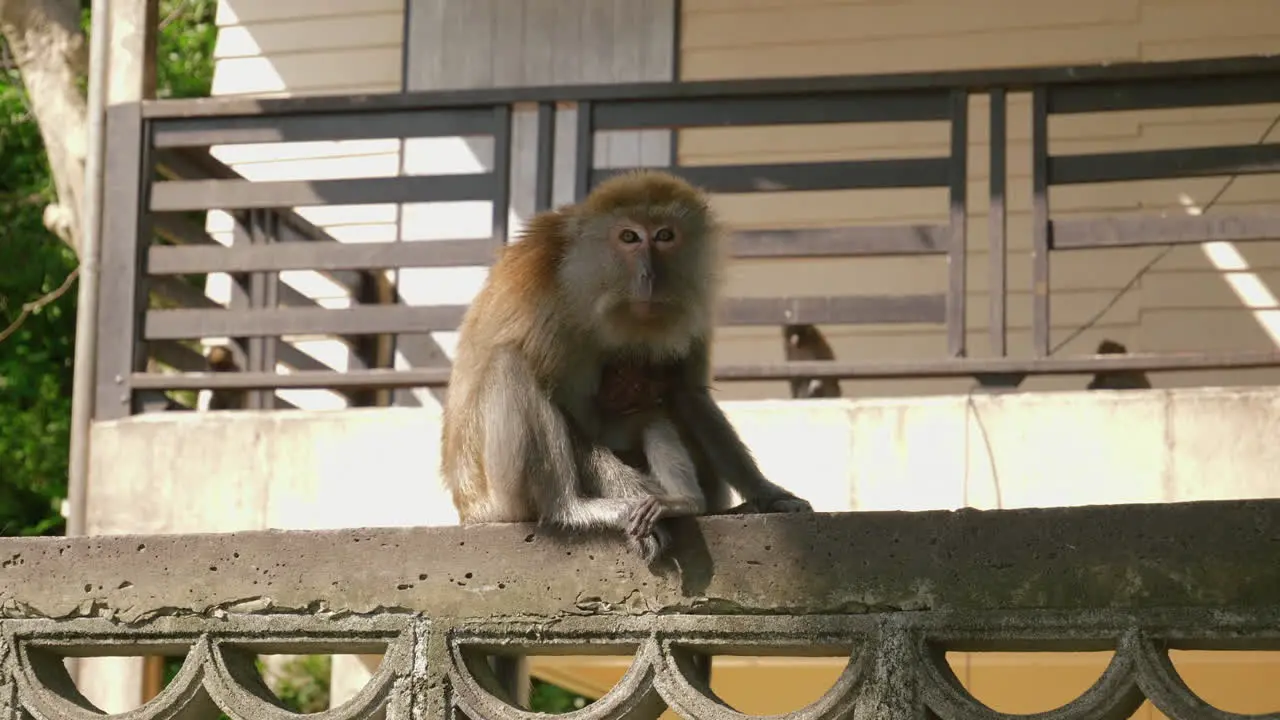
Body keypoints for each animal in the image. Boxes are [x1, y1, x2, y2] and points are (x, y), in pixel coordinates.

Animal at [440, 169, 808, 561]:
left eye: (665, 236)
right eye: (629, 237)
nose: (650, 276)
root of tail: (467, 508)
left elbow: (689, 394)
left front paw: (768, 493)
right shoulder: (549, 308)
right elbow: (572, 418)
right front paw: (640, 500)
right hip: (499, 498)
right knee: (509, 362)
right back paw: (574, 508)